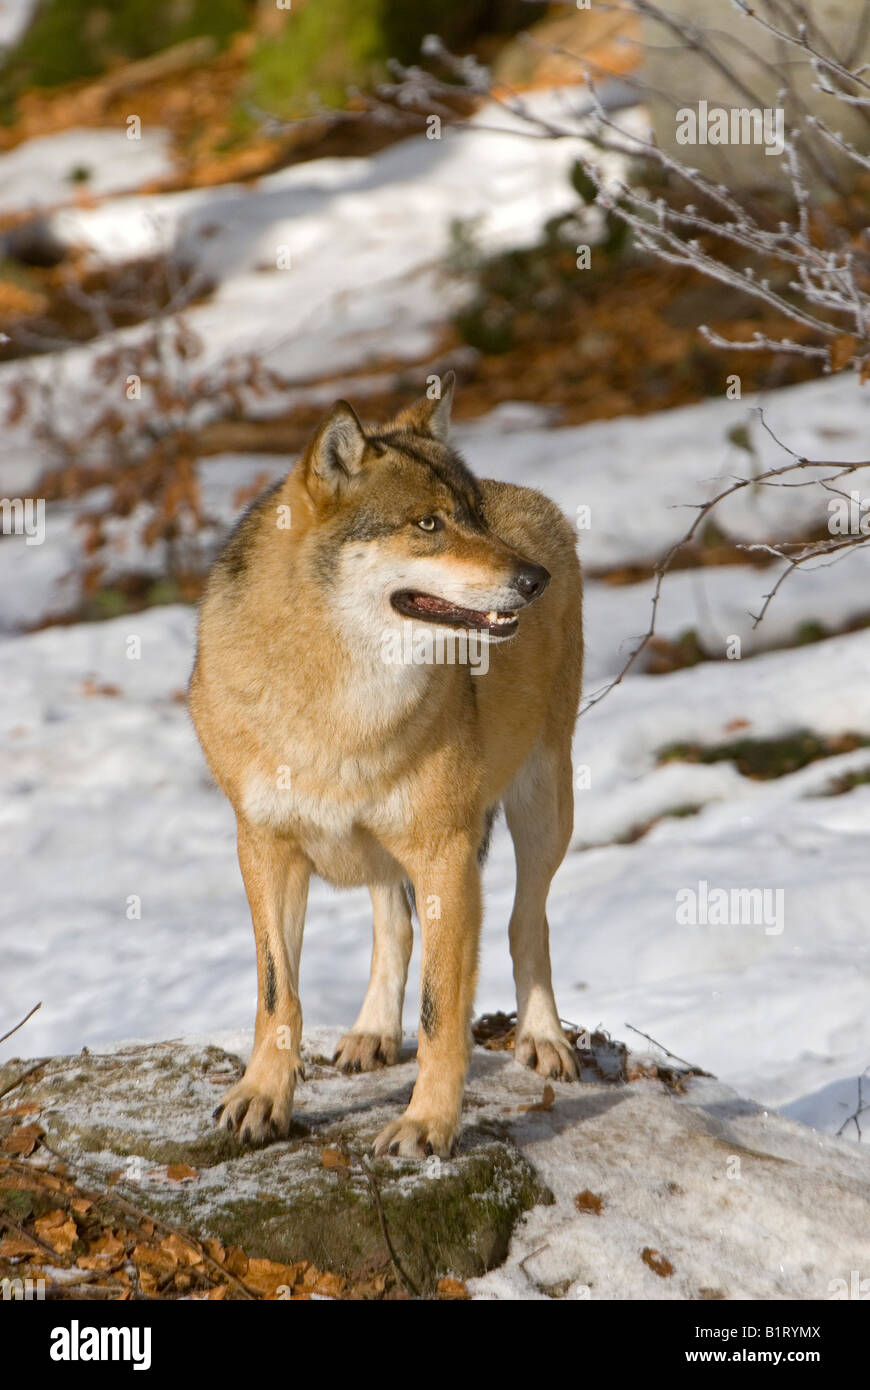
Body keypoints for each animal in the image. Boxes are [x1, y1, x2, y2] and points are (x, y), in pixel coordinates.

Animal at [189, 373, 583, 1158]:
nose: (536, 579)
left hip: (544, 810)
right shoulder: (264, 846)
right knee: (391, 923)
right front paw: (261, 1098)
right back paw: (371, 1032)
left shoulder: (446, 855)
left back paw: (544, 1040)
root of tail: (536, 498)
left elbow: (440, 1015)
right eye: (428, 524)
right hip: (380, 846)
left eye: (475, 517)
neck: (339, 707)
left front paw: (427, 1125)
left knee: (528, 923)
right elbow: (278, 993)